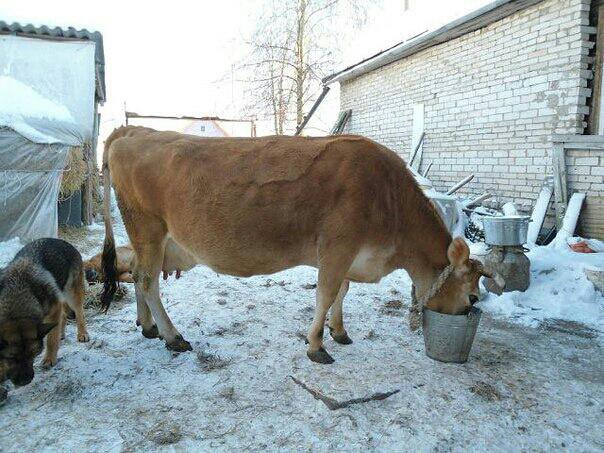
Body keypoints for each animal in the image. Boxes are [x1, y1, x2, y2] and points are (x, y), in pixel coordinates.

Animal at [0, 237, 89, 384]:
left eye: (34, 354)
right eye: (11, 358)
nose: (25, 381)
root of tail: (61, 241)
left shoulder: (53, 310)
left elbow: (51, 340)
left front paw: (49, 359)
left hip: (71, 295)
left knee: (79, 313)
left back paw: (82, 334)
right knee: (63, 316)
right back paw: (62, 334)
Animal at [99, 126, 496, 364]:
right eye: (473, 296)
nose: (467, 312)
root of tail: (133, 131)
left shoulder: (349, 253)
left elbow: (342, 292)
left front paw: (339, 331)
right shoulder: (337, 245)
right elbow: (327, 292)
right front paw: (317, 344)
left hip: (148, 237)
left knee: (137, 272)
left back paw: (148, 326)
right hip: (147, 227)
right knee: (147, 280)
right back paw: (172, 335)